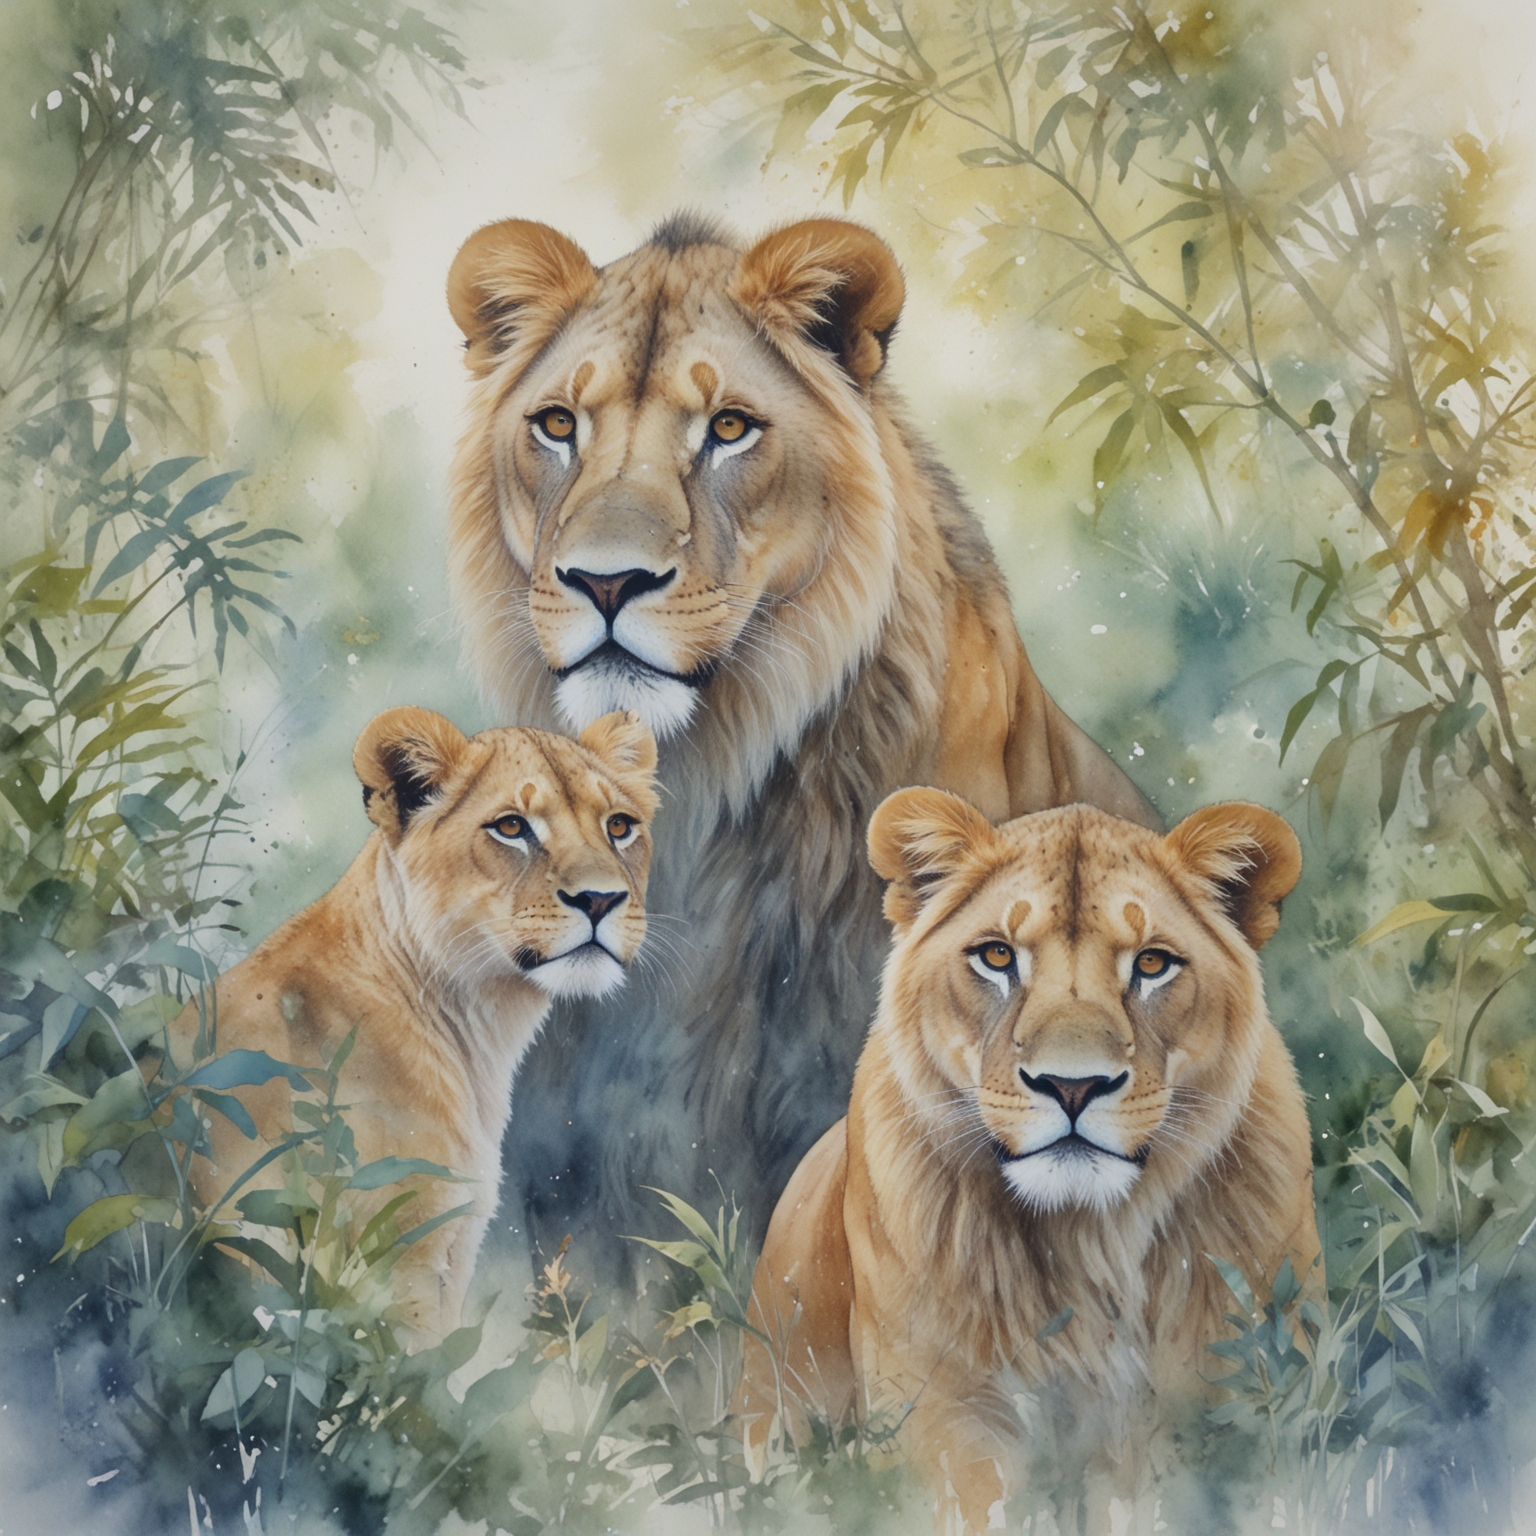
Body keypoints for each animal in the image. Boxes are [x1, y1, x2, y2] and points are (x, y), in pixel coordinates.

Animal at [734, 791, 1319, 1531]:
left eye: (1152, 964)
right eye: (996, 956)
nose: (1073, 1086)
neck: (1091, 1235)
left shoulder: (1245, 1388)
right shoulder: (942, 1406)